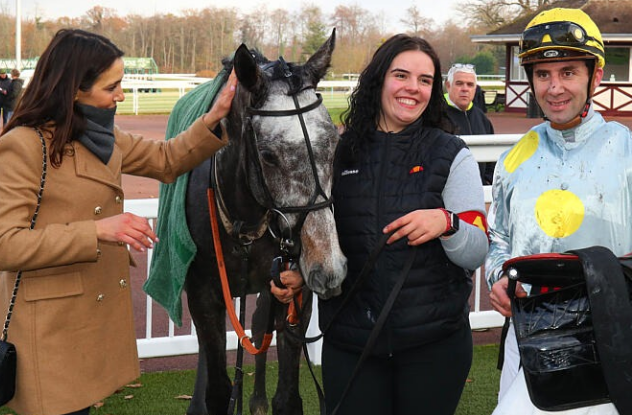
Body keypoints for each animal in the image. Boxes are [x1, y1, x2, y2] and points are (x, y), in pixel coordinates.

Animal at [180, 31, 346, 415]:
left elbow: (287, 396)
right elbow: (216, 384)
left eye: (334, 144)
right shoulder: (202, 290)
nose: (328, 268)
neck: (246, 224)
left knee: (258, 328)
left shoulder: (293, 287)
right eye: (268, 156)